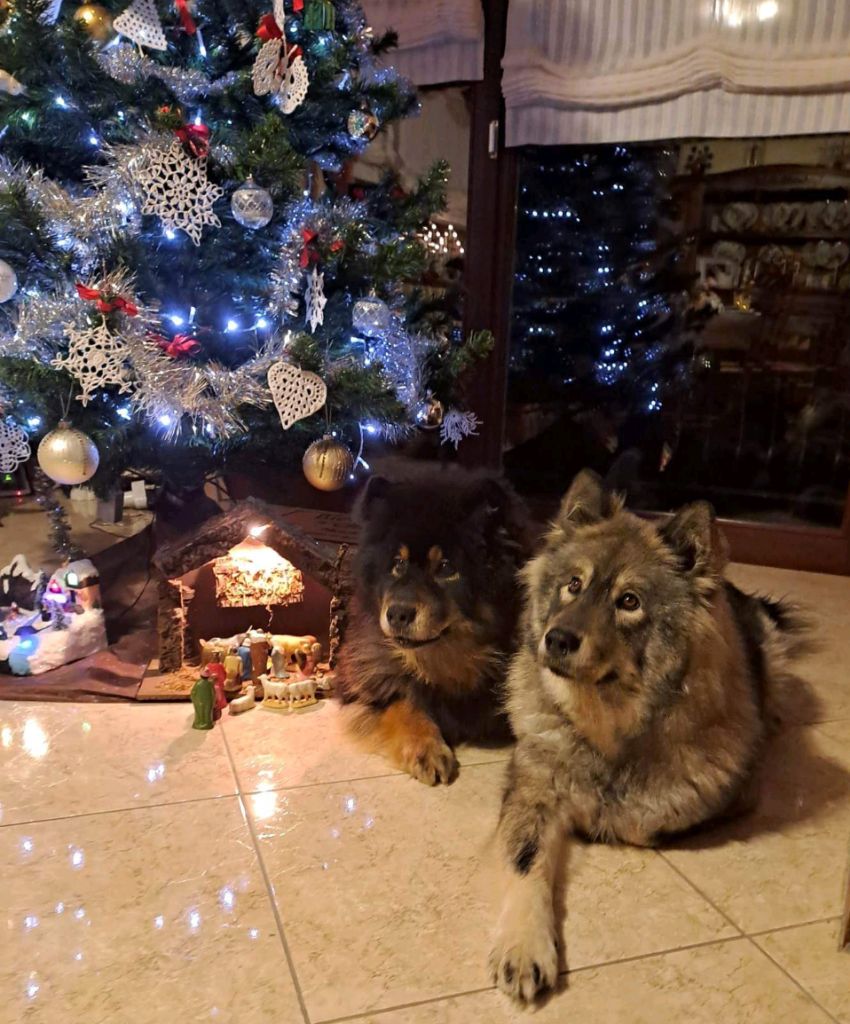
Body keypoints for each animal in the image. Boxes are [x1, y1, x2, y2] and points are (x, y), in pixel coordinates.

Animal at [333, 468, 528, 786]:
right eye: (398, 563)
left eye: (446, 568)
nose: (397, 614)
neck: (446, 661)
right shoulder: (367, 685)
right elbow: (404, 703)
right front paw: (427, 749)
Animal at [489, 471, 806, 999]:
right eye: (573, 585)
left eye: (629, 602)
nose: (557, 639)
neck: (606, 730)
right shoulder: (532, 789)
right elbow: (525, 864)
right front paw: (522, 946)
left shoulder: (728, 796)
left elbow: (643, 822)